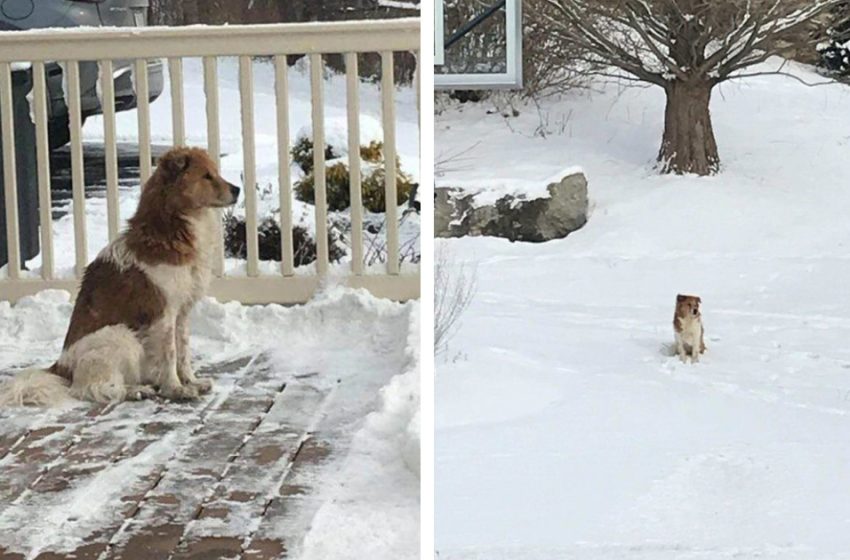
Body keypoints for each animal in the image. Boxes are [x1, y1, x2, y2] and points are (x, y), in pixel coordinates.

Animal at [0, 147, 238, 404]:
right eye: (206, 176)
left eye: (215, 173)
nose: (237, 189)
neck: (170, 229)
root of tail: (61, 367)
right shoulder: (163, 313)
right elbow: (170, 354)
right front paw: (175, 389)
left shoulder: (182, 312)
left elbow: (183, 352)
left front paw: (191, 381)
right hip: (119, 335)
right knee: (91, 388)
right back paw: (136, 390)